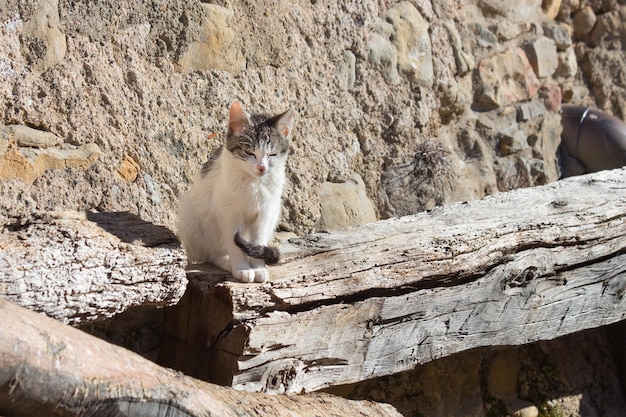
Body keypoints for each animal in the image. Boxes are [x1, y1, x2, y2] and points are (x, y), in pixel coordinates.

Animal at [176, 101, 292, 282]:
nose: (261, 168)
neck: (254, 183)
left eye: (272, 154)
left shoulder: (265, 213)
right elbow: (234, 244)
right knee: (211, 253)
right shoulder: (228, 213)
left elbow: (258, 240)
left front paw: (258, 267)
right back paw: (227, 262)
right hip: (191, 216)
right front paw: (242, 268)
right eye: (249, 152)